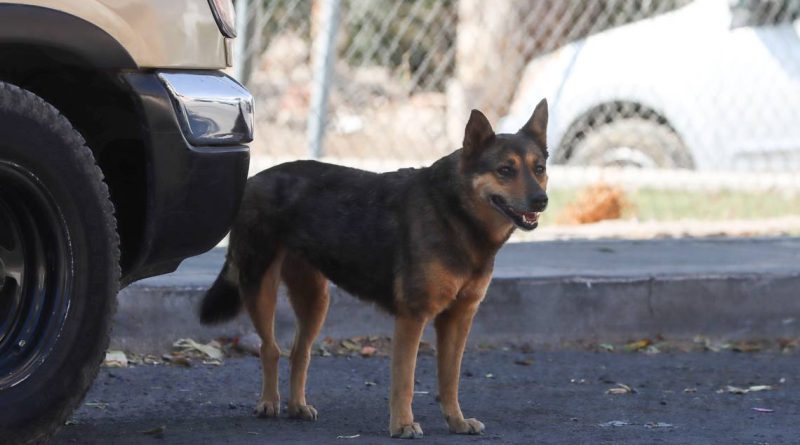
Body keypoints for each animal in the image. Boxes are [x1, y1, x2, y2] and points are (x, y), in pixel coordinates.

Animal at [200, 98, 552, 438]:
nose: (542, 200)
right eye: (505, 170)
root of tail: (254, 179)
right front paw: (403, 425)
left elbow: (449, 380)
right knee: (270, 348)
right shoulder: (413, 317)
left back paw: (297, 406)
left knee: (299, 352)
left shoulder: (458, 318)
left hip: (315, 300)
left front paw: (457, 421)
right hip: (260, 289)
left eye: (539, 169)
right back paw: (269, 403)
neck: (455, 213)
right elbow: (405, 381)